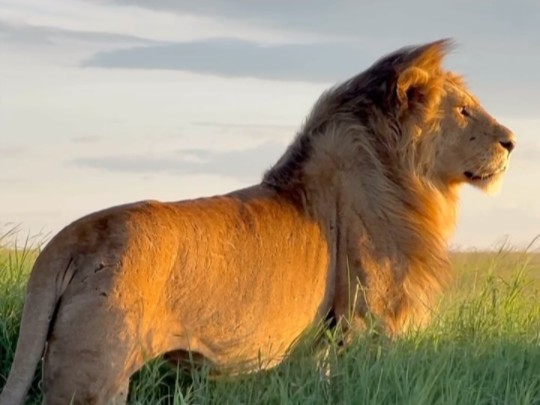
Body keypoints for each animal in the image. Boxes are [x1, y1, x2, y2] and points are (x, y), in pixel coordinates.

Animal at [0, 38, 516, 404]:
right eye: (464, 109)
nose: (512, 141)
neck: (404, 175)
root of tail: (67, 241)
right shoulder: (362, 324)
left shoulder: (323, 342)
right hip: (93, 376)